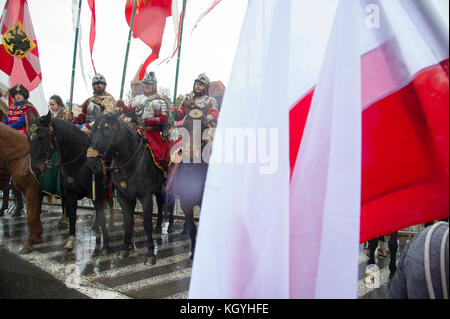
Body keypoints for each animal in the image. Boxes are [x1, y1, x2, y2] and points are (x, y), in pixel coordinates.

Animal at [0, 124, 42, 254]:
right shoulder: (36, 192)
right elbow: (35, 214)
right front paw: (37, 236)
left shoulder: (31, 190)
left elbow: (31, 217)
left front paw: (29, 244)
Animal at [28, 114, 110, 254]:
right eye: (29, 139)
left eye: (42, 138)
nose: (35, 169)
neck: (80, 162)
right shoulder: (70, 193)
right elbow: (72, 215)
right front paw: (70, 240)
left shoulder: (96, 193)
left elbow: (101, 215)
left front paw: (106, 243)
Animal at [85, 112, 164, 264]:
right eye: (92, 131)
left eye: (107, 130)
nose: (92, 163)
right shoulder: (124, 196)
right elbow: (127, 221)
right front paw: (124, 248)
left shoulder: (146, 197)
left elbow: (146, 224)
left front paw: (150, 253)